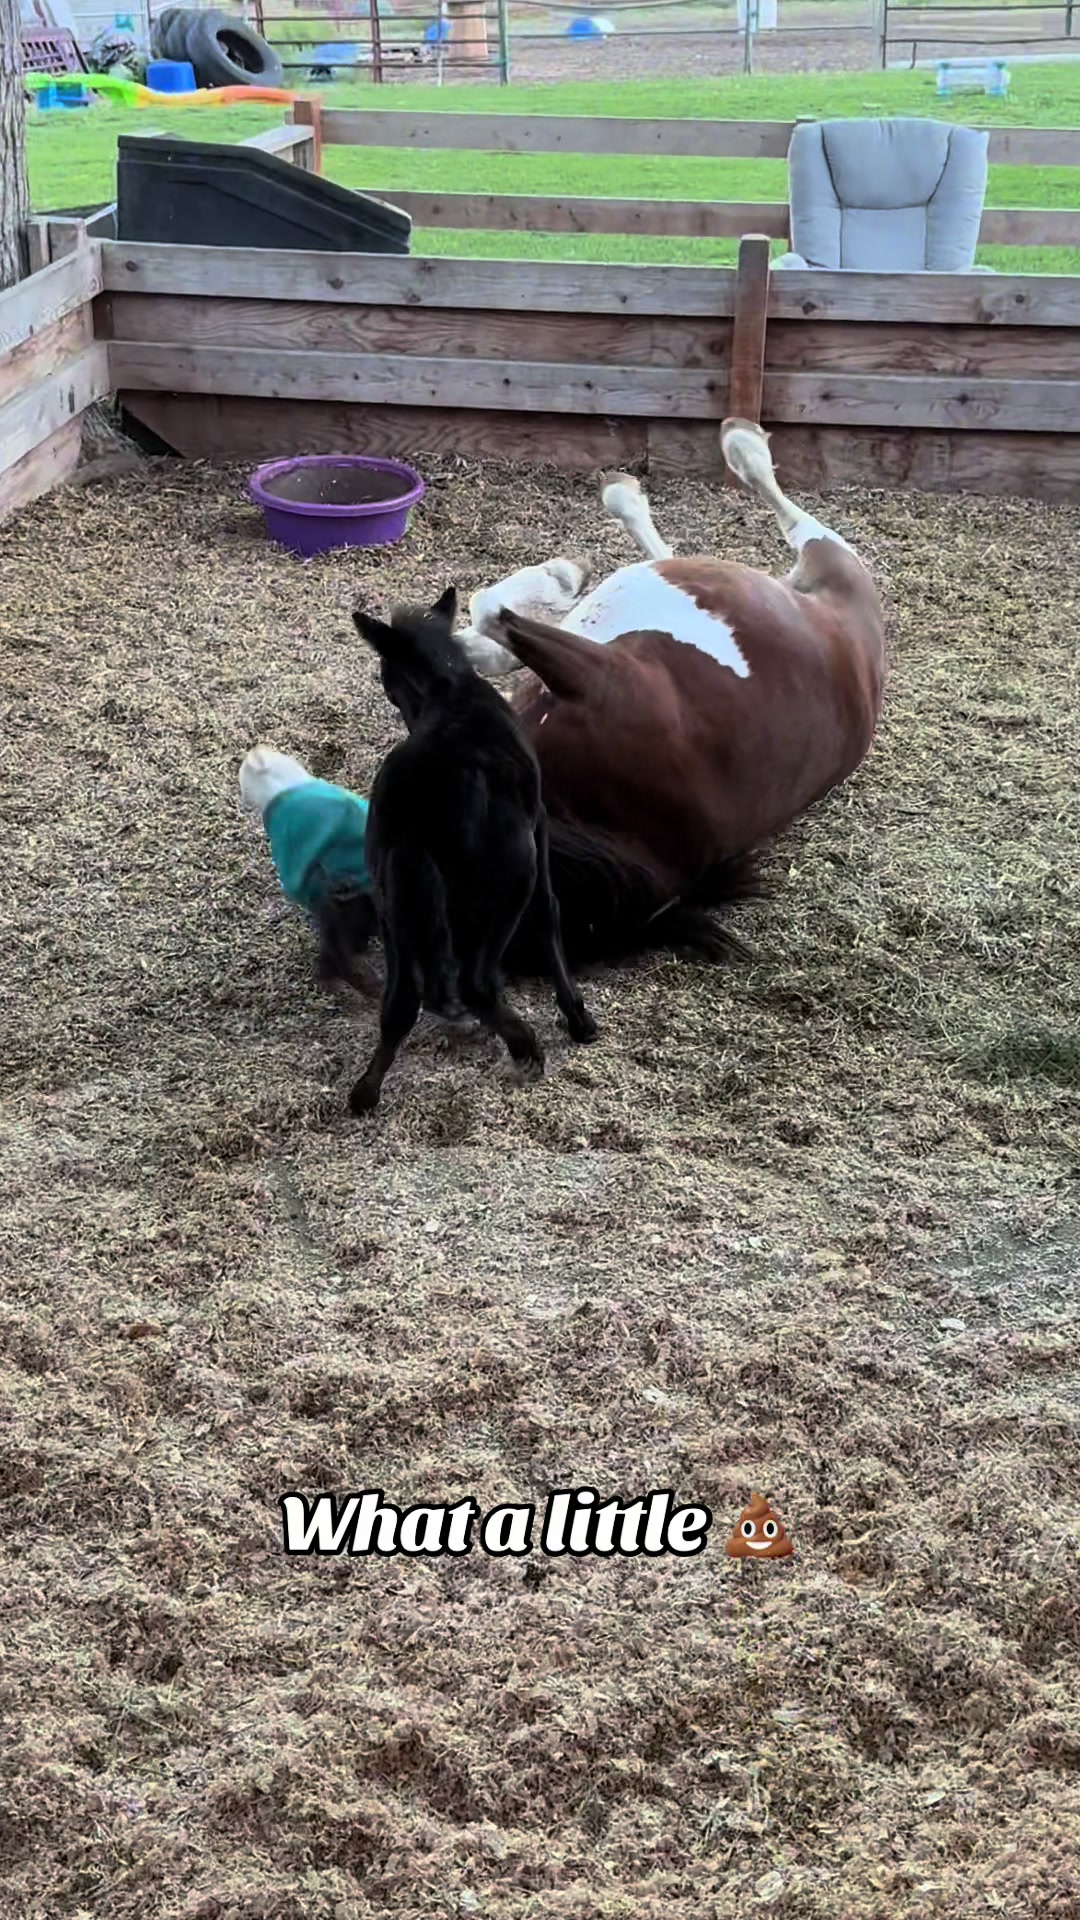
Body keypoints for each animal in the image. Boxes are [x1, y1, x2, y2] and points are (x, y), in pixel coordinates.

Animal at [348, 586, 597, 1112]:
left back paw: (365, 1093)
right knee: (477, 982)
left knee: (401, 1001)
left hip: (392, 902)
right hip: (507, 884)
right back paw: (525, 1046)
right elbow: (549, 913)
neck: (451, 690)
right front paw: (578, 1020)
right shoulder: (539, 825)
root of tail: (417, 813)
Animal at [451, 418, 887, 973]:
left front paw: (557, 580)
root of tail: (863, 643)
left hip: (829, 560)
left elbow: (488, 612)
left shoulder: (596, 671)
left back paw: (718, 453)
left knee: (786, 519)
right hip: (823, 569)